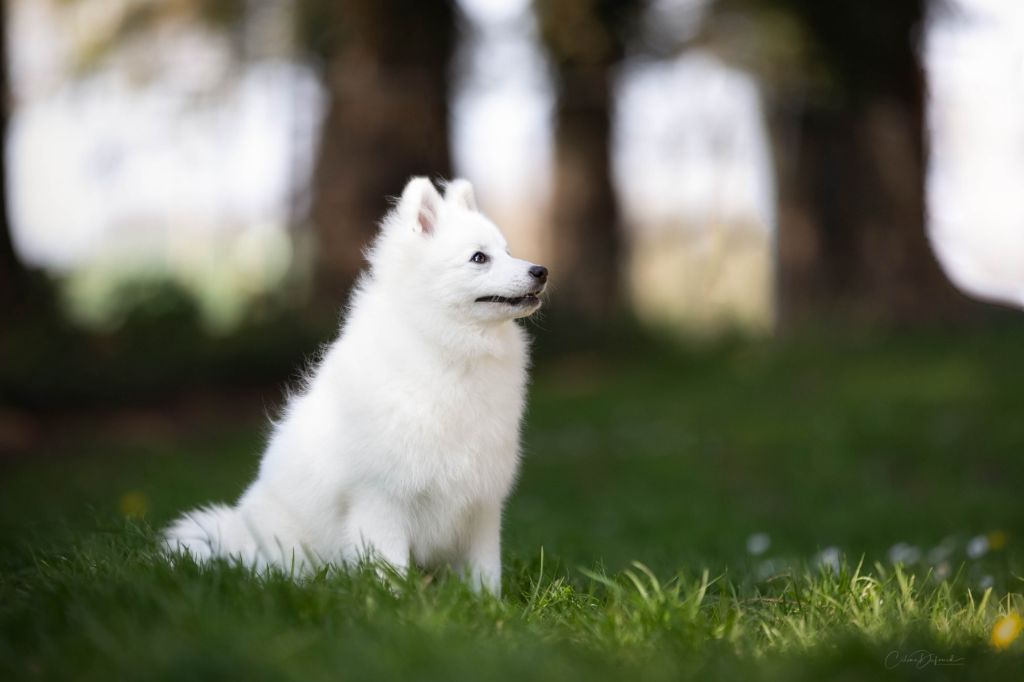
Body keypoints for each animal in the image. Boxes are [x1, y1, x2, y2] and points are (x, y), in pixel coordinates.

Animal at [165, 176, 552, 593]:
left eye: (508, 251)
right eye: (479, 258)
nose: (541, 270)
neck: (449, 349)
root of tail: (235, 535)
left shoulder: (481, 504)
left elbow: (485, 572)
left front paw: (488, 604)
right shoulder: (380, 498)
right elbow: (389, 567)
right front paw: (396, 603)